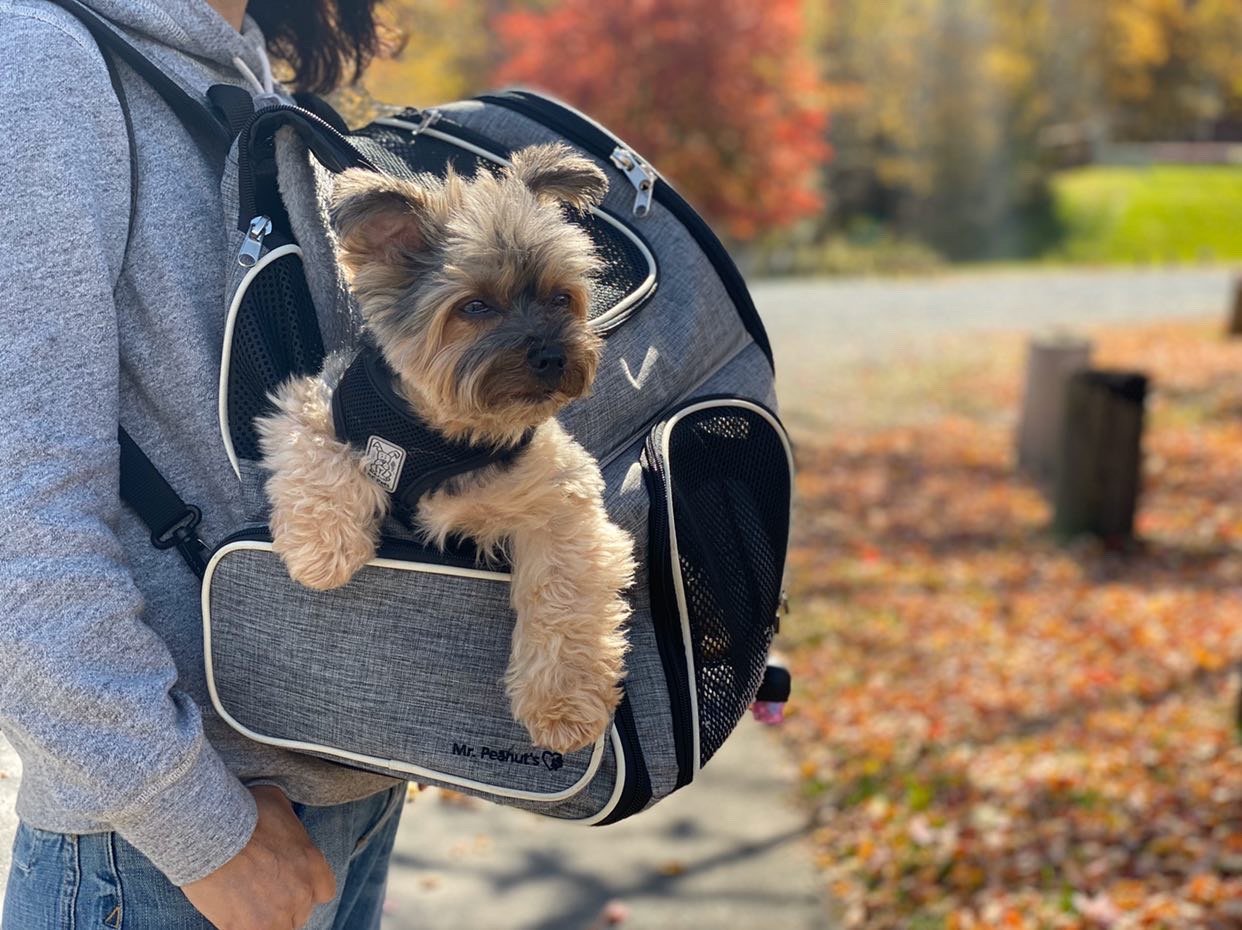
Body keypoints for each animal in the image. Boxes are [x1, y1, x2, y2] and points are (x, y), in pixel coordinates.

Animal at [255, 145, 635, 754]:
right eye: (476, 306)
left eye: (561, 298)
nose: (553, 355)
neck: (444, 430)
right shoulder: (313, 404)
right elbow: (321, 462)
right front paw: (324, 553)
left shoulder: (562, 504)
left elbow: (563, 599)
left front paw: (561, 705)